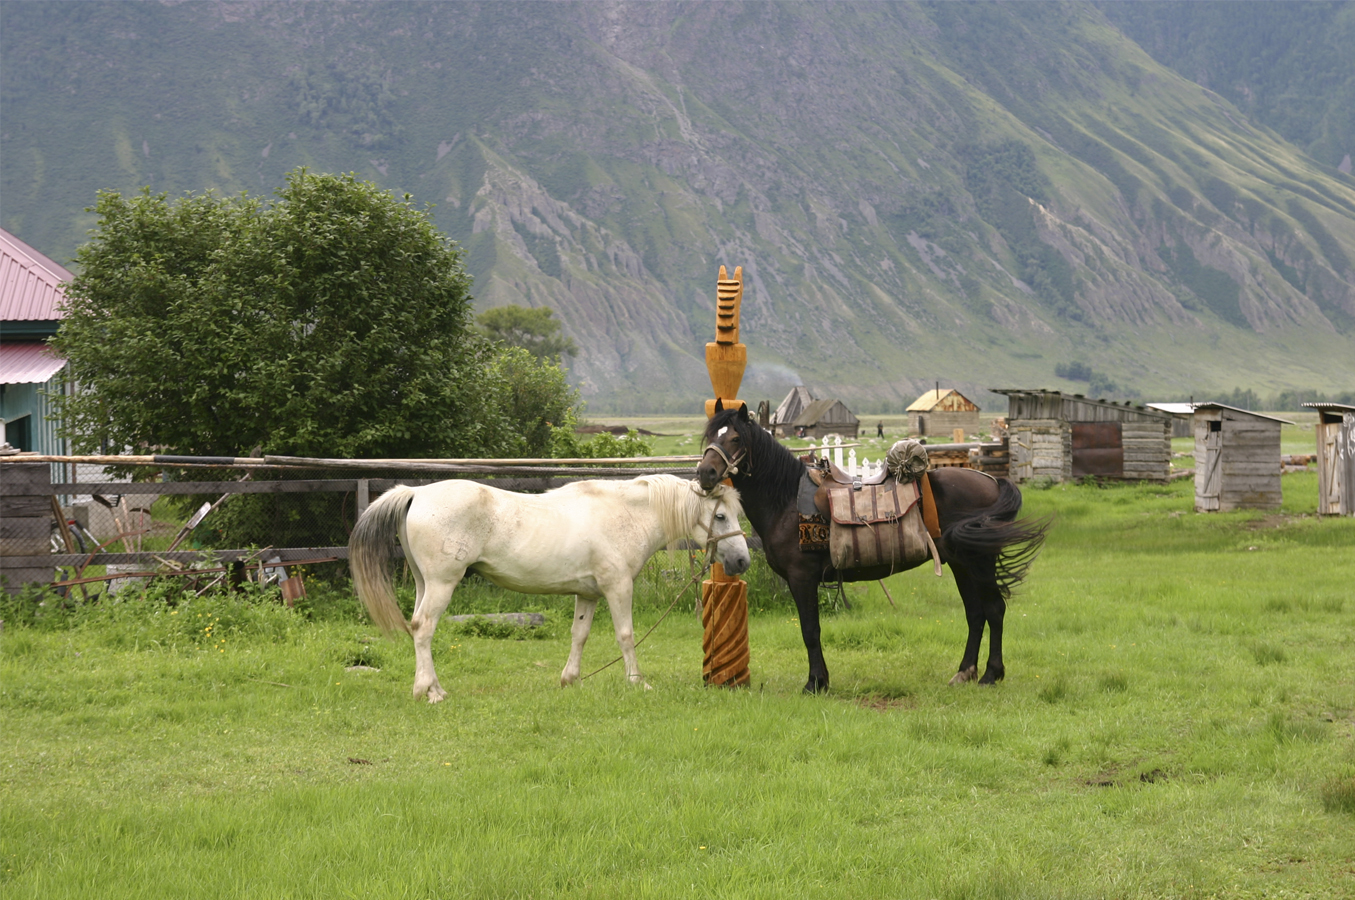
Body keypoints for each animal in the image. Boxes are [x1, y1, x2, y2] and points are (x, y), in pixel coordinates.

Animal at [349, 474, 747, 699]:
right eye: (721, 515)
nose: (742, 561)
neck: (625, 513)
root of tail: (416, 493)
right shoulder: (618, 587)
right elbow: (626, 635)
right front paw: (638, 682)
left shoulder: (588, 594)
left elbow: (579, 636)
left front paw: (571, 680)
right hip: (442, 583)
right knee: (424, 628)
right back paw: (428, 692)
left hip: (423, 582)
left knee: (417, 626)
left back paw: (432, 687)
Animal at [699, 403, 1046, 691]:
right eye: (709, 437)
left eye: (736, 439)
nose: (705, 473)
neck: (785, 500)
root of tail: (992, 481)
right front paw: (821, 680)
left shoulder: (801, 578)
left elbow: (810, 631)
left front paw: (815, 683)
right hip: (961, 564)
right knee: (975, 613)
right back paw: (964, 672)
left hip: (980, 562)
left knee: (994, 609)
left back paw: (991, 674)